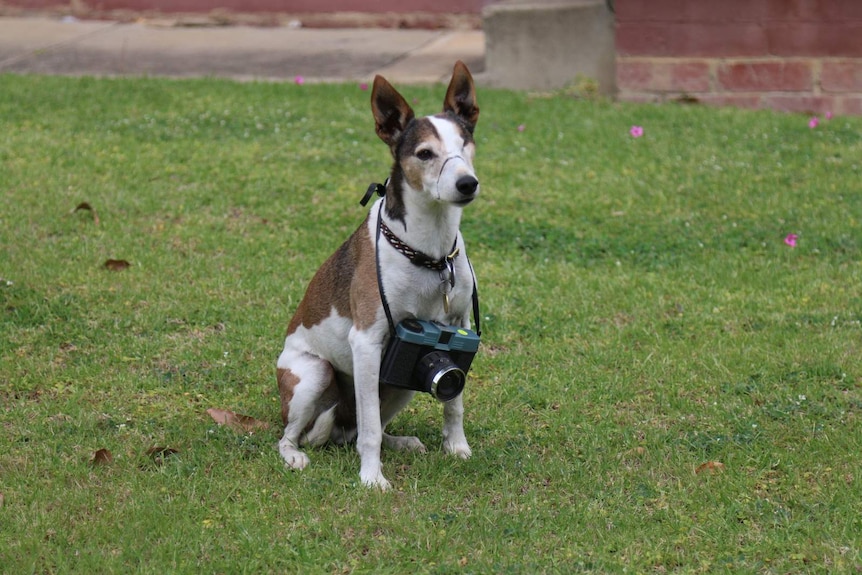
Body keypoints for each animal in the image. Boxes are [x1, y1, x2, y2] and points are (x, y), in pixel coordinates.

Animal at [276, 60, 480, 488]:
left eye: (465, 144)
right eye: (425, 153)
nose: (467, 183)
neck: (430, 251)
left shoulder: (458, 331)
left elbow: (452, 404)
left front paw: (457, 447)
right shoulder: (368, 342)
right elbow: (368, 430)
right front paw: (371, 478)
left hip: (400, 384)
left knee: (360, 428)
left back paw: (398, 441)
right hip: (315, 375)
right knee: (300, 433)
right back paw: (295, 455)